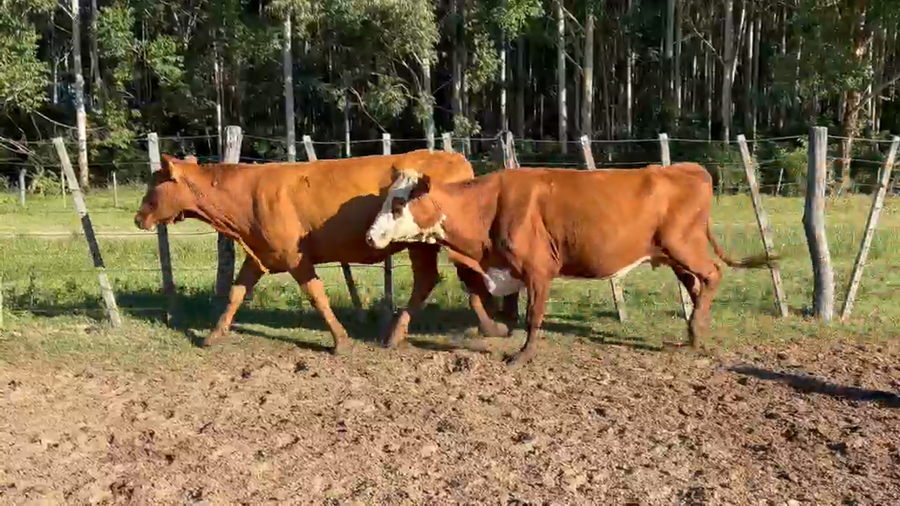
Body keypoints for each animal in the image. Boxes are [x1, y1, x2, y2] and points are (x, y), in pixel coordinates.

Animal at [133, 149, 519, 354]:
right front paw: (214, 334)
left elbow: (316, 295)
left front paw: (340, 339)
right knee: (443, 280)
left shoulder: (295, 257)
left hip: (428, 243)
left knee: (453, 278)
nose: (138, 217)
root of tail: (451, 156)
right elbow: (236, 293)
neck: (245, 194)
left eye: (154, 185)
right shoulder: (260, 255)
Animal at [365, 163, 777, 366]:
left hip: (684, 245)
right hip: (671, 254)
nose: (370, 237)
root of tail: (691, 169)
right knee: (695, 285)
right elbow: (494, 304)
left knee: (712, 275)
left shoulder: (538, 270)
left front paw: (523, 355)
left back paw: (698, 329)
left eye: (398, 203)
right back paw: (693, 335)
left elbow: (533, 315)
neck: (490, 206)